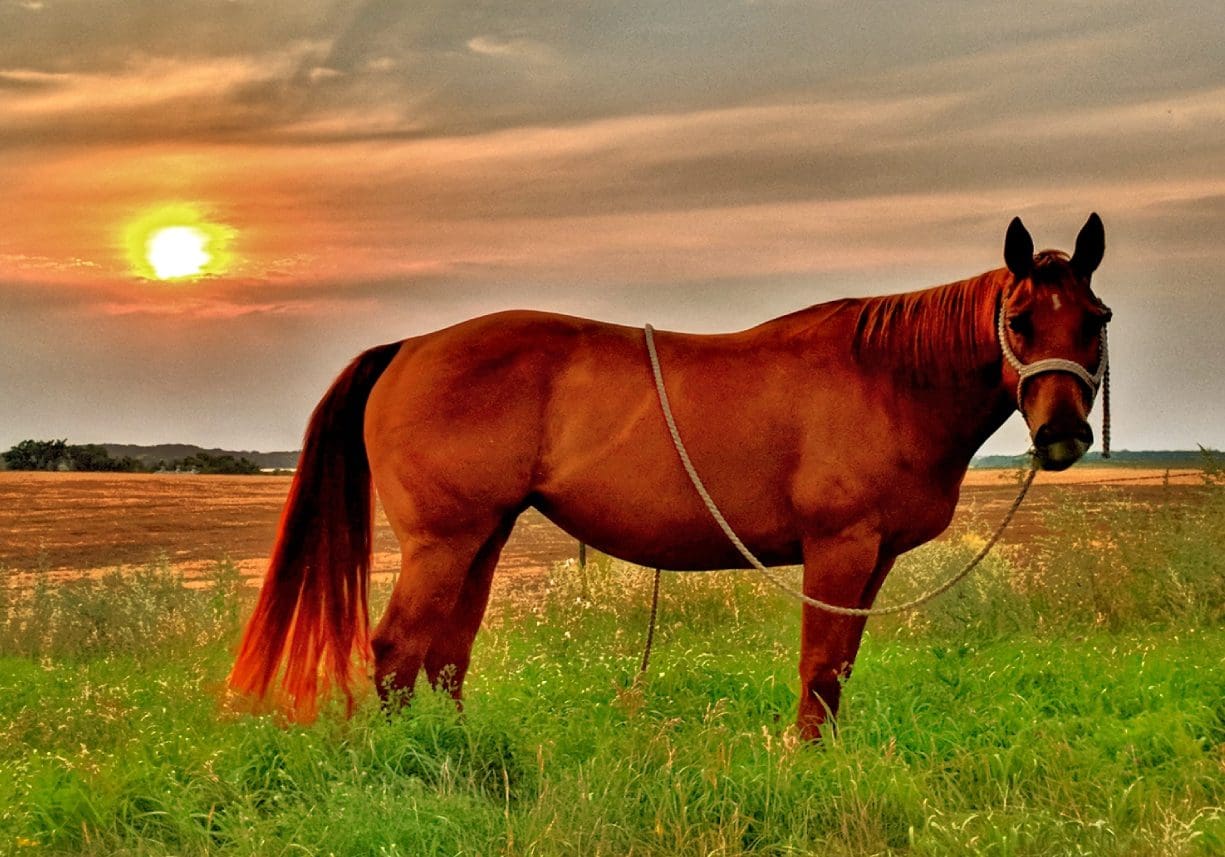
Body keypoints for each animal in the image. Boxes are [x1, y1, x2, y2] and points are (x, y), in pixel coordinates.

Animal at [229, 214, 1111, 739]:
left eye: (1094, 320)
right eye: (1018, 319)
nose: (1063, 434)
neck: (883, 377)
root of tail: (409, 346)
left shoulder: (872, 560)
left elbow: (842, 666)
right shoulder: (837, 550)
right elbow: (819, 666)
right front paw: (803, 759)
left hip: (481, 538)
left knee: (445, 654)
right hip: (443, 540)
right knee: (397, 649)